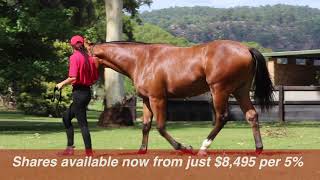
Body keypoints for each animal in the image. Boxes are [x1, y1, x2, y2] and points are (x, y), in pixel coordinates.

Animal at [84, 39, 272, 155]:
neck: (141, 59)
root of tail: (246, 49)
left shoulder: (158, 98)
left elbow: (160, 127)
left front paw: (184, 147)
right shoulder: (146, 100)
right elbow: (145, 126)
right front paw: (141, 150)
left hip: (219, 90)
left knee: (222, 117)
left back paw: (203, 147)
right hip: (240, 91)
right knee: (251, 115)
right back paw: (258, 148)